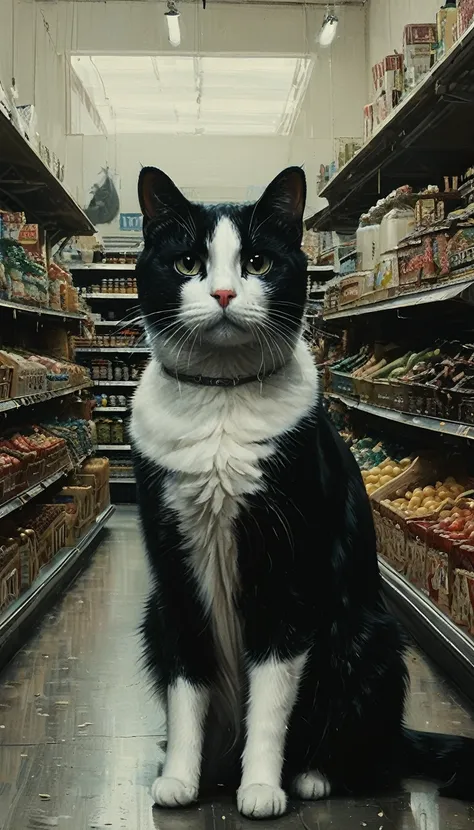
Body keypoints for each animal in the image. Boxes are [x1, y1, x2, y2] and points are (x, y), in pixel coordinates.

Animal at [131, 166, 474, 824]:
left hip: (368, 637)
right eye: (188, 262)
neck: (222, 400)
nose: (222, 294)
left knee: (364, 749)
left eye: (258, 261)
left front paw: (262, 786)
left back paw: (312, 776)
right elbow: (187, 686)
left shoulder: (289, 568)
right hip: (151, 617)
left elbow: (272, 696)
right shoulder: (174, 576)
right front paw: (180, 776)